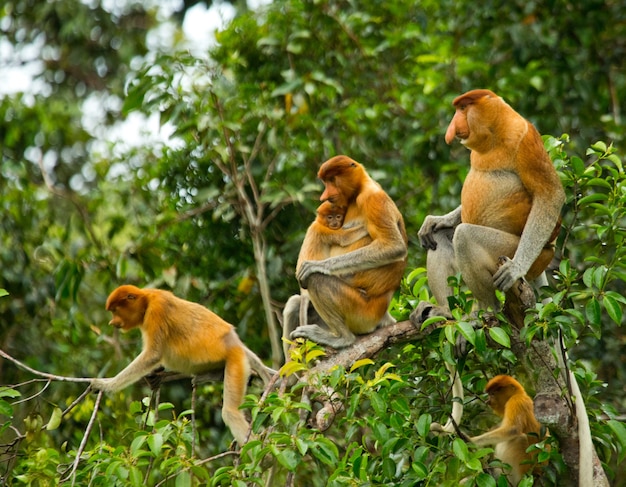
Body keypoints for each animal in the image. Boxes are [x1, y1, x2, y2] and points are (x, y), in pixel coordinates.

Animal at [91, 284, 276, 448]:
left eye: (115, 310)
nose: (112, 322)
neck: (146, 299)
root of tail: (234, 342)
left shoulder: (157, 310)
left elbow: (153, 354)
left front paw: (105, 385)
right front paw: (154, 377)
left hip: (235, 361)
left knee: (230, 413)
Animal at [282, 156, 410, 350]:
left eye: (332, 180)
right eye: (326, 182)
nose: (325, 196)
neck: (360, 190)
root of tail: (382, 315)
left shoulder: (372, 198)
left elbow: (393, 246)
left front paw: (313, 265)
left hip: (361, 312)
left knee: (315, 279)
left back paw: (342, 338)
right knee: (294, 303)